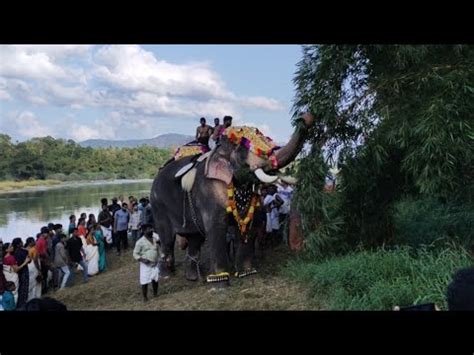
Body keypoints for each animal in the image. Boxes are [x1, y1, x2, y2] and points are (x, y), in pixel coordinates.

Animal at [150, 112, 314, 286]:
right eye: (243, 151)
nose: (306, 116)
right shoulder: (208, 190)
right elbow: (216, 228)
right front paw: (220, 285)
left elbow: (247, 226)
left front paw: (247, 274)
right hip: (158, 204)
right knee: (167, 238)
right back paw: (166, 276)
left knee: (194, 239)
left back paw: (192, 278)